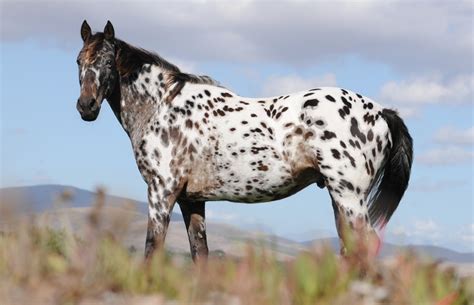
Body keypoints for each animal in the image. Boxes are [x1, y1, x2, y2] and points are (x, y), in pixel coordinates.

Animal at [76, 20, 412, 260]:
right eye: (79, 60)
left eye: (108, 62)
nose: (86, 106)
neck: (162, 105)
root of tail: (382, 112)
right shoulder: (191, 200)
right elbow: (200, 255)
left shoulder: (161, 192)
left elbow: (152, 249)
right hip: (340, 196)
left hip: (349, 196)